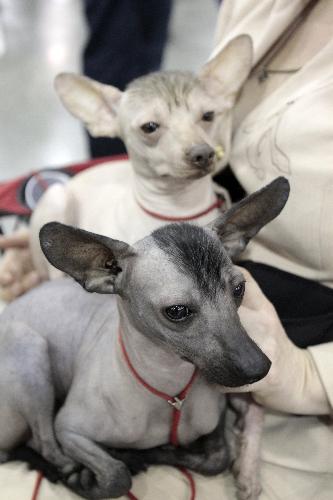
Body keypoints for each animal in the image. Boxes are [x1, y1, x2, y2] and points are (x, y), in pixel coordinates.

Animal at [0, 178, 288, 498]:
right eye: (177, 311)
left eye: (239, 289)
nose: (259, 367)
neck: (171, 393)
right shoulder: (69, 428)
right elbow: (117, 477)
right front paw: (116, 465)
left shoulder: (217, 416)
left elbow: (217, 457)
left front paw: (166, 452)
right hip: (29, 350)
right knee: (46, 445)